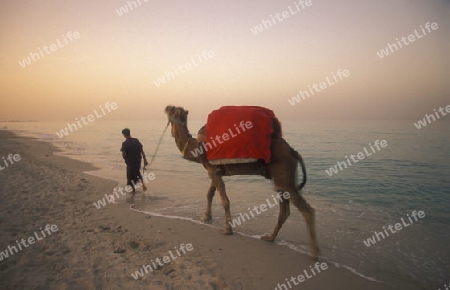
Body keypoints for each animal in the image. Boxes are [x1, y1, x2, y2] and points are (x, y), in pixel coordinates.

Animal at [165, 105, 320, 260]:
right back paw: (270, 237)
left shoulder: (212, 170)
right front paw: (206, 217)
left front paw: (227, 229)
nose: (167, 107)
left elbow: (224, 200)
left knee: (306, 209)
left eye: (172, 110)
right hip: (281, 180)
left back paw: (314, 253)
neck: (196, 147)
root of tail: (293, 151)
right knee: (284, 210)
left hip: (283, 174)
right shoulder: (215, 170)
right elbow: (210, 194)